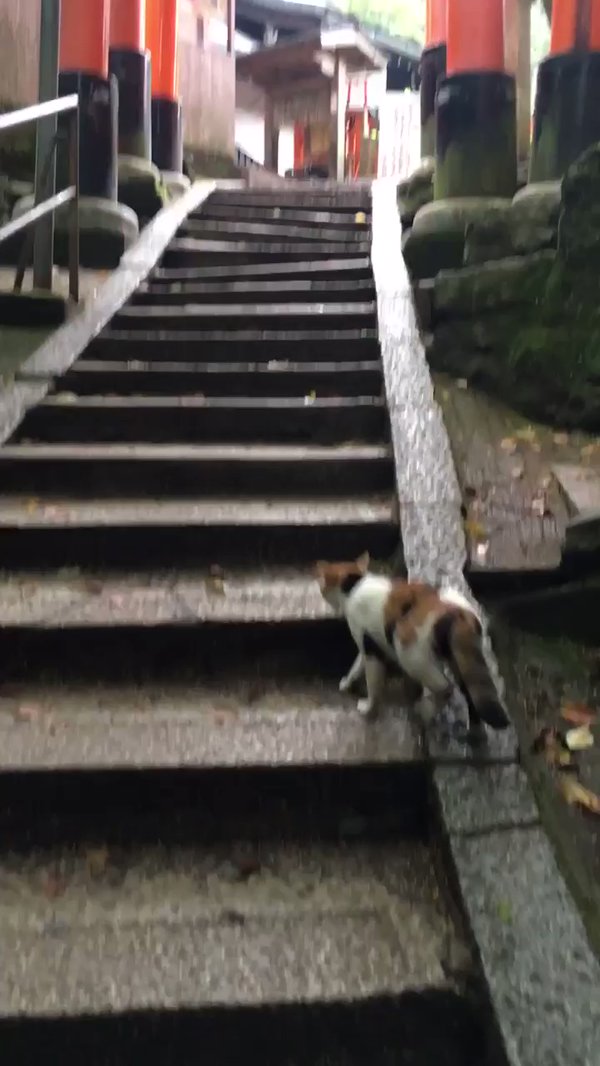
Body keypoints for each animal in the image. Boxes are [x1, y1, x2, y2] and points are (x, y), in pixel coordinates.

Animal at [314, 552, 509, 733]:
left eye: (322, 586)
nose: (321, 591)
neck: (353, 587)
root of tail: (459, 613)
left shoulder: (369, 645)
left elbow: (373, 683)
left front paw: (368, 709)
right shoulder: (369, 644)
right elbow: (356, 666)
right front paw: (347, 683)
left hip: (409, 652)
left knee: (446, 687)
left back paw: (424, 711)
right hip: (458, 658)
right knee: (469, 692)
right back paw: (475, 730)